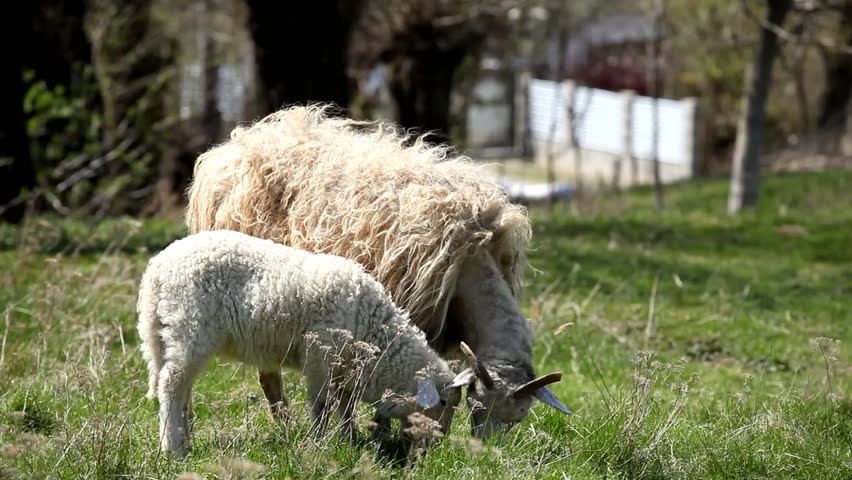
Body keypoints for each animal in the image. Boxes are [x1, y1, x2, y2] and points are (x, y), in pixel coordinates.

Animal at [137, 230, 461, 456]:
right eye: (444, 402)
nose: (434, 446)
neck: (372, 329)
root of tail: (158, 268)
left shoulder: (345, 367)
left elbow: (345, 406)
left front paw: (349, 439)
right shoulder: (320, 355)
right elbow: (322, 405)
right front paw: (320, 443)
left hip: (168, 334)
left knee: (181, 388)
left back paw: (185, 438)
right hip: (191, 328)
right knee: (171, 384)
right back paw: (172, 447)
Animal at [185, 104, 570, 438]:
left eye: (519, 418)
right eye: (479, 406)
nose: (484, 453)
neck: (469, 257)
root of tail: (239, 142)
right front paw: (371, 433)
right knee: (269, 375)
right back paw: (285, 427)